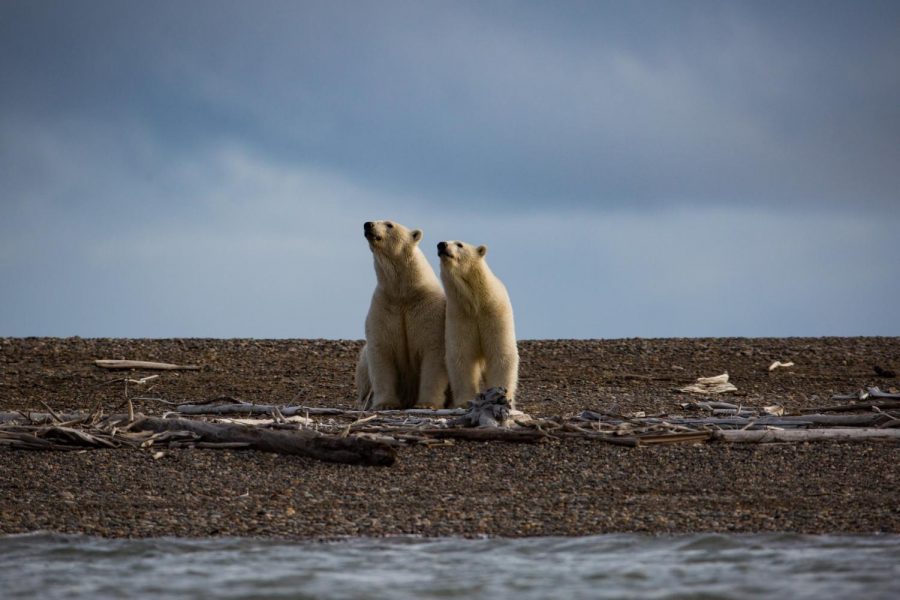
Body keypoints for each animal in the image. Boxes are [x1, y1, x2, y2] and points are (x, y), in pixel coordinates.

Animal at [354, 223, 448, 410]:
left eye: (389, 224)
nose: (368, 224)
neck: (403, 293)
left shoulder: (429, 310)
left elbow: (433, 351)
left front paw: (425, 404)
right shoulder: (385, 307)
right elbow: (381, 351)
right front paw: (385, 404)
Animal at [438, 239, 516, 408]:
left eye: (459, 244)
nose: (441, 244)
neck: (475, 303)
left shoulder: (494, 313)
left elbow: (501, 353)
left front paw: (502, 395)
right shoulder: (460, 316)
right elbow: (461, 356)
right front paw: (464, 401)